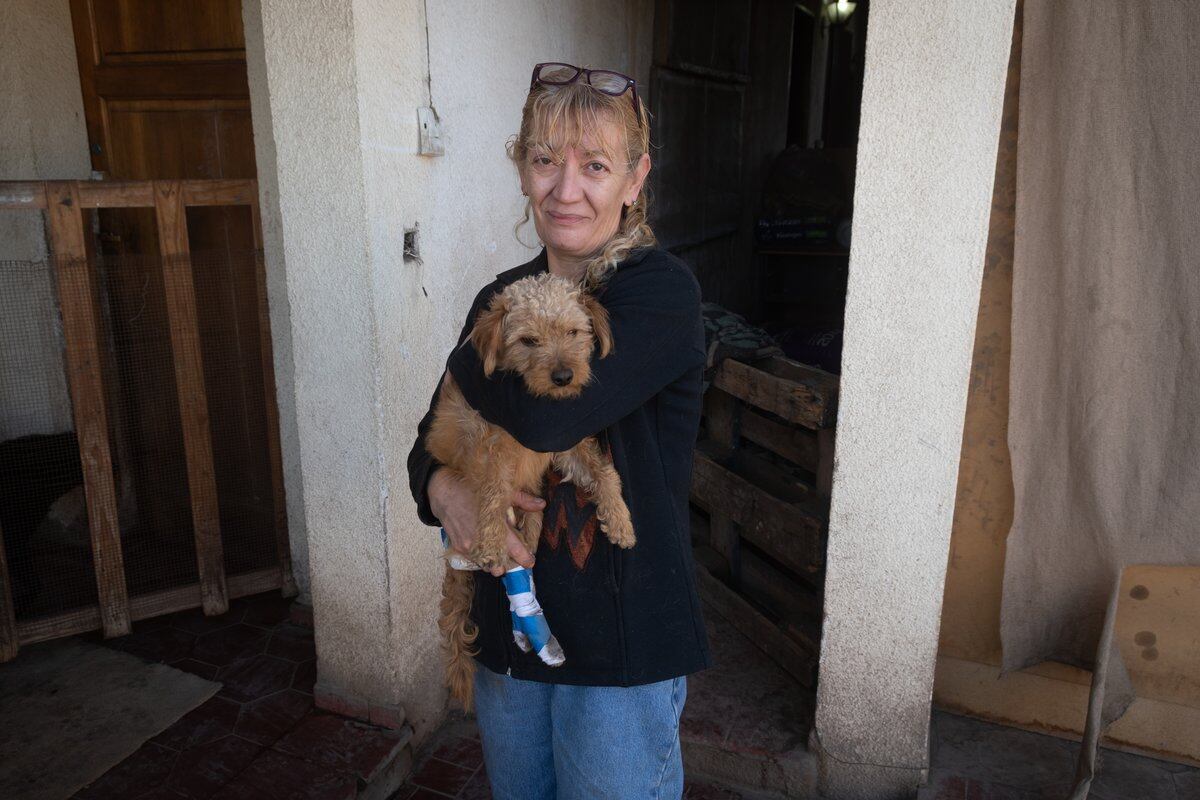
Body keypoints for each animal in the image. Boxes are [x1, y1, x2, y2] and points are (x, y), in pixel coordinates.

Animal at [432, 273, 638, 705]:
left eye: (574, 332)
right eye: (528, 340)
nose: (563, 378)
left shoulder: (566, 447)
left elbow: (605, 472)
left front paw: (620, 521)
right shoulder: (485, 447)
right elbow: (492, 493)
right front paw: (491, 540)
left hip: (534, 506)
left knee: (527, 550)